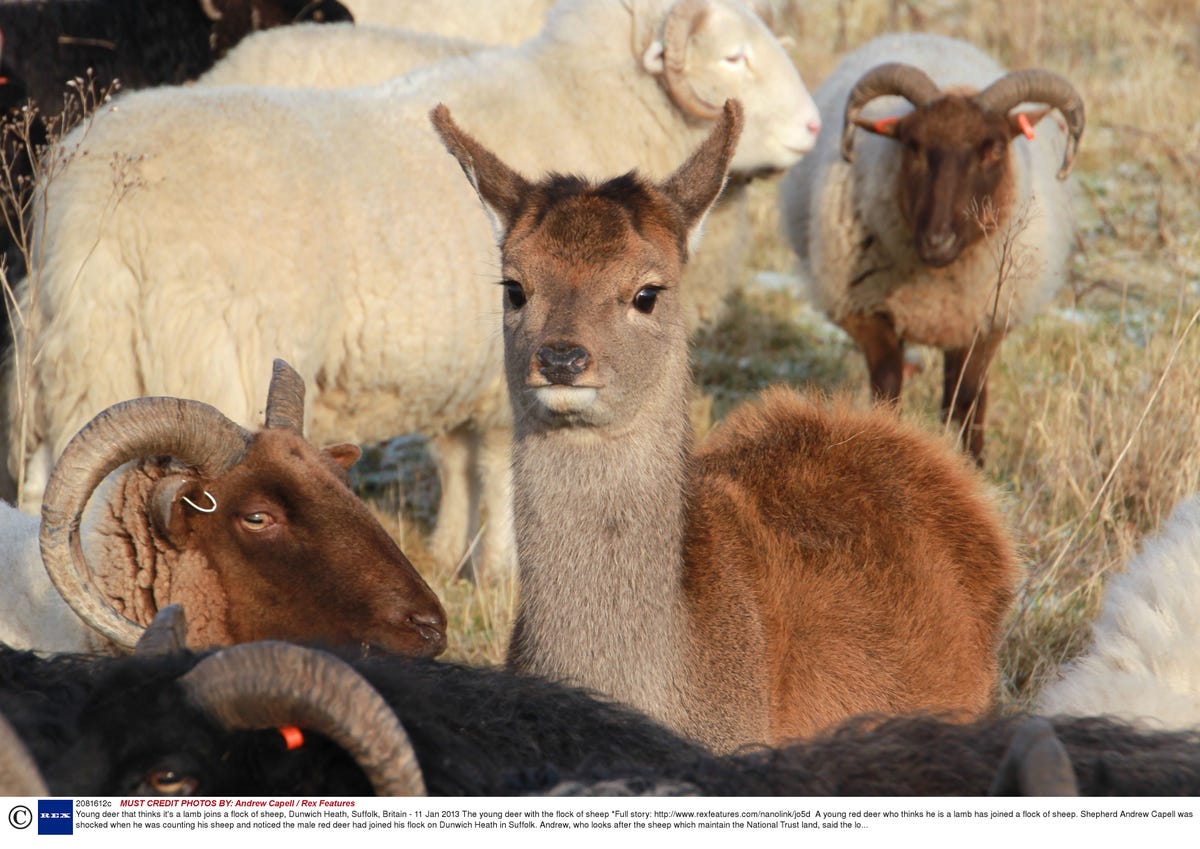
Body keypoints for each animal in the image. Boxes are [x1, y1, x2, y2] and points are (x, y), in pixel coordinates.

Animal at [2, 0, 825, 589]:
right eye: (734, 56)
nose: (816, 129)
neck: (587, 103)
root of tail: (98, 204)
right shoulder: (512, 363)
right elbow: (497, 466)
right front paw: (503, 569)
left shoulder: (463, 363)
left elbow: (458, 461)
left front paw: (451, 551)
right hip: (196, 360)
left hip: (71, 356)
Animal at [777, 33, 1089, 460]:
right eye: (913, 146)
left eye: (994, 149)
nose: (937, 241)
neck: (936, 283)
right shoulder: (867, 313)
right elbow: (888, 388)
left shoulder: (985, 323)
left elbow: (967, 400)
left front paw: (972, 463)